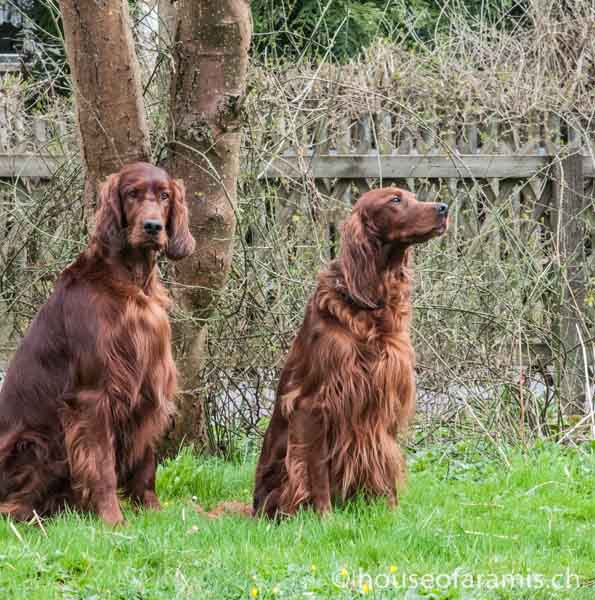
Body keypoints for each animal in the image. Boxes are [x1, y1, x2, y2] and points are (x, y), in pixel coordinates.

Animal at [0, 162, 197, 524]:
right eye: (132, 193)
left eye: (164, 195)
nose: (152, 226)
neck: (132, 282)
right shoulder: (93, 397)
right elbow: (101, 465)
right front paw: (112, 520)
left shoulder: (148, 385)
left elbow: (146, 462)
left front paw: (152, 510)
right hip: (37, 442)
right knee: (12, 506)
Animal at [254, 186, 450, 516]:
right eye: (395, 200)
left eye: (410, 195)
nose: (444, 208)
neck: (372, 304)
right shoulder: (313, 404)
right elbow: (317, 470)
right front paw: (324, 518)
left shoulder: (386, 394)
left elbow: (386, 457)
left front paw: (392, 513)